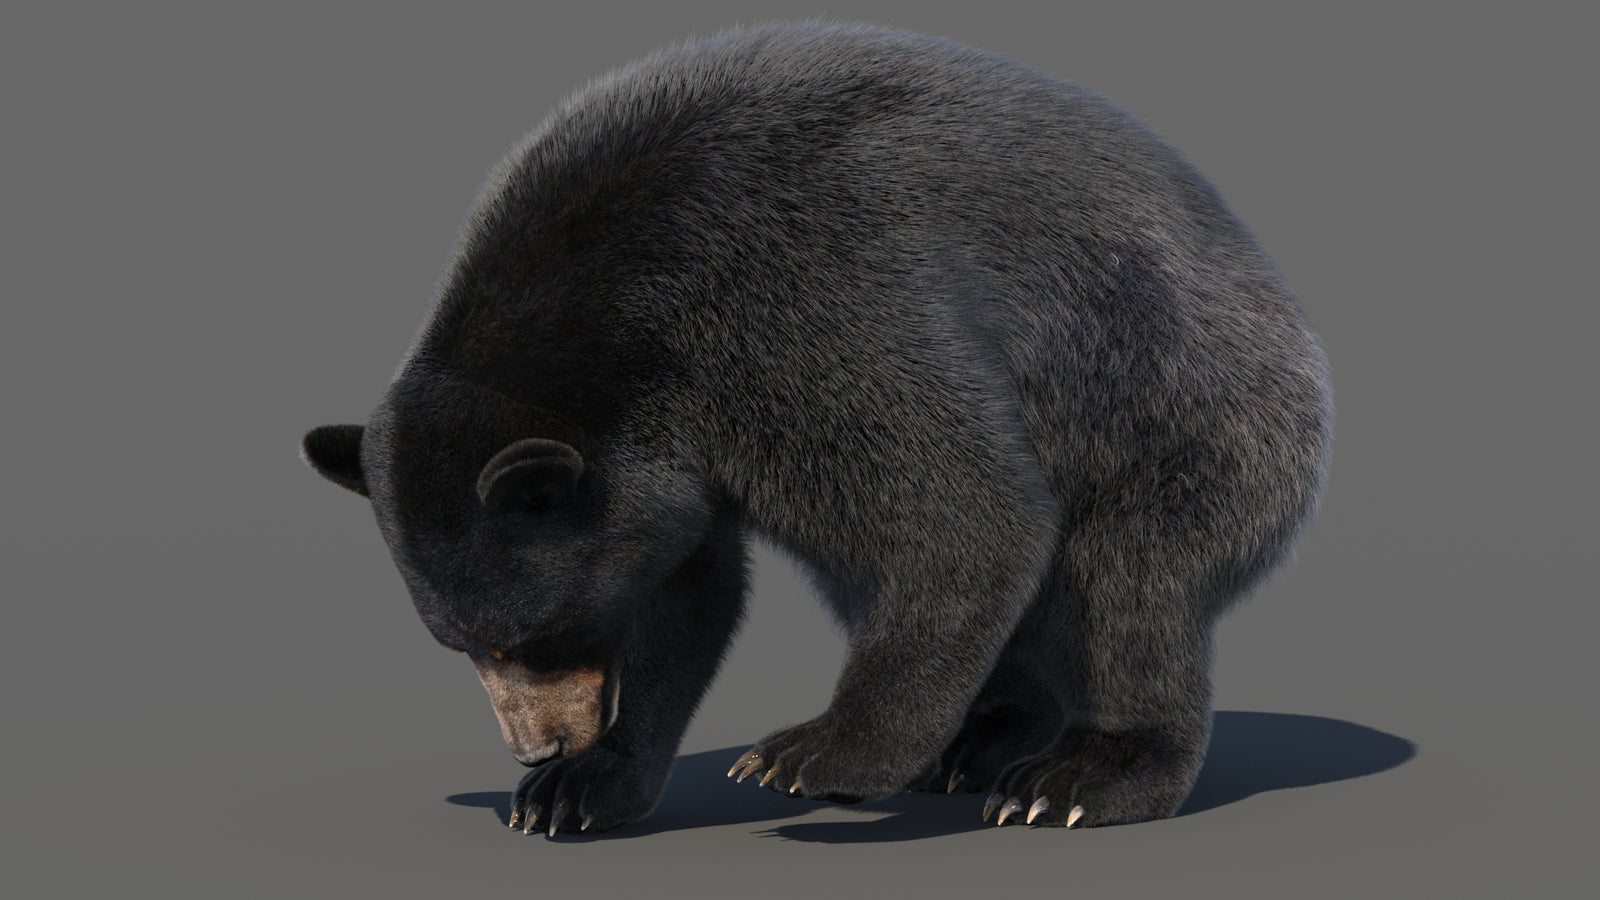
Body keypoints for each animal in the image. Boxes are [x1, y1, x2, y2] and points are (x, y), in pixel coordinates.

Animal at [301, 21, 1332, 836]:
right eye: (461, 645)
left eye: (534, 636)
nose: (535, 747)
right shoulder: (668, 443)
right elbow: (689, 589)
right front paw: (580, 788)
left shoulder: (804, 300)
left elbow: (966, 508)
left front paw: (810, 754)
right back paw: (981, 737)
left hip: (1183, 406)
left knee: (1130, 581)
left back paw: (1078, 776)